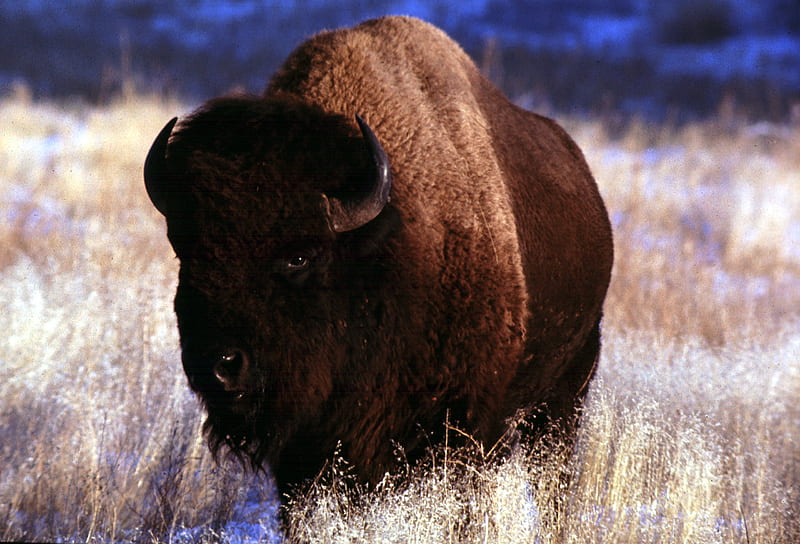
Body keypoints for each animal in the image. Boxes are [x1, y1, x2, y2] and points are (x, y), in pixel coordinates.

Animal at [142, 14, 612, 496]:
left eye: (299, 257)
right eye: (186, 251)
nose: (218, 367)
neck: (384, 247)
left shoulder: (460, 428)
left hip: (565, 393)